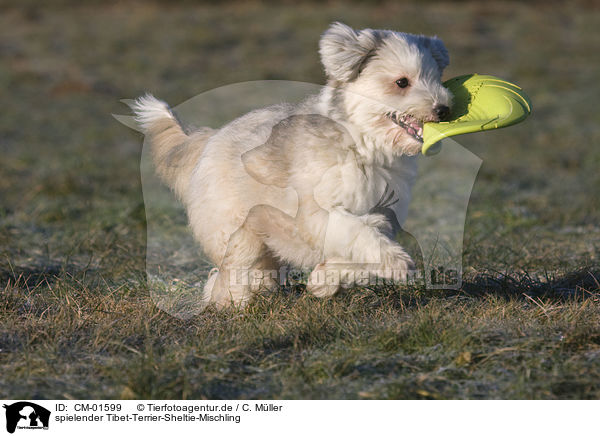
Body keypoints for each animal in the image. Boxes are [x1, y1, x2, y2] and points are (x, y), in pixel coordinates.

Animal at [134, 22, 452, 308]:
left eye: (437, 79)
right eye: (402, 82)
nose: (444, 109)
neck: (363, 145)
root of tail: (210, 137)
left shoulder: (382, 215)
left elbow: (361, 245)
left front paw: (324, 281)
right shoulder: (317, 215)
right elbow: (357, 233)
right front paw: (397, 262)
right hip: (234, 226)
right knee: (229, 267)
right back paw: (233, 300)